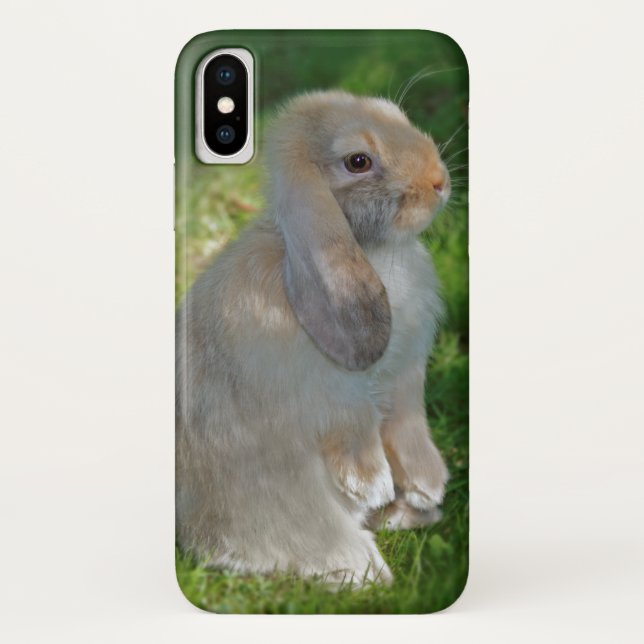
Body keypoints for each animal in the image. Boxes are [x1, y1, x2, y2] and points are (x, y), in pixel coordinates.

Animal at [176, 90, 451, 586]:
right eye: (358, 161)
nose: (439, 182)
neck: (373, 251)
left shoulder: (405, 378)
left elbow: (406, 422)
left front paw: (427, 486)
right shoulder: (333, 393)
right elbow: (356, 427)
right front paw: (373, 485)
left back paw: (408, 515)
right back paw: (365, 569)